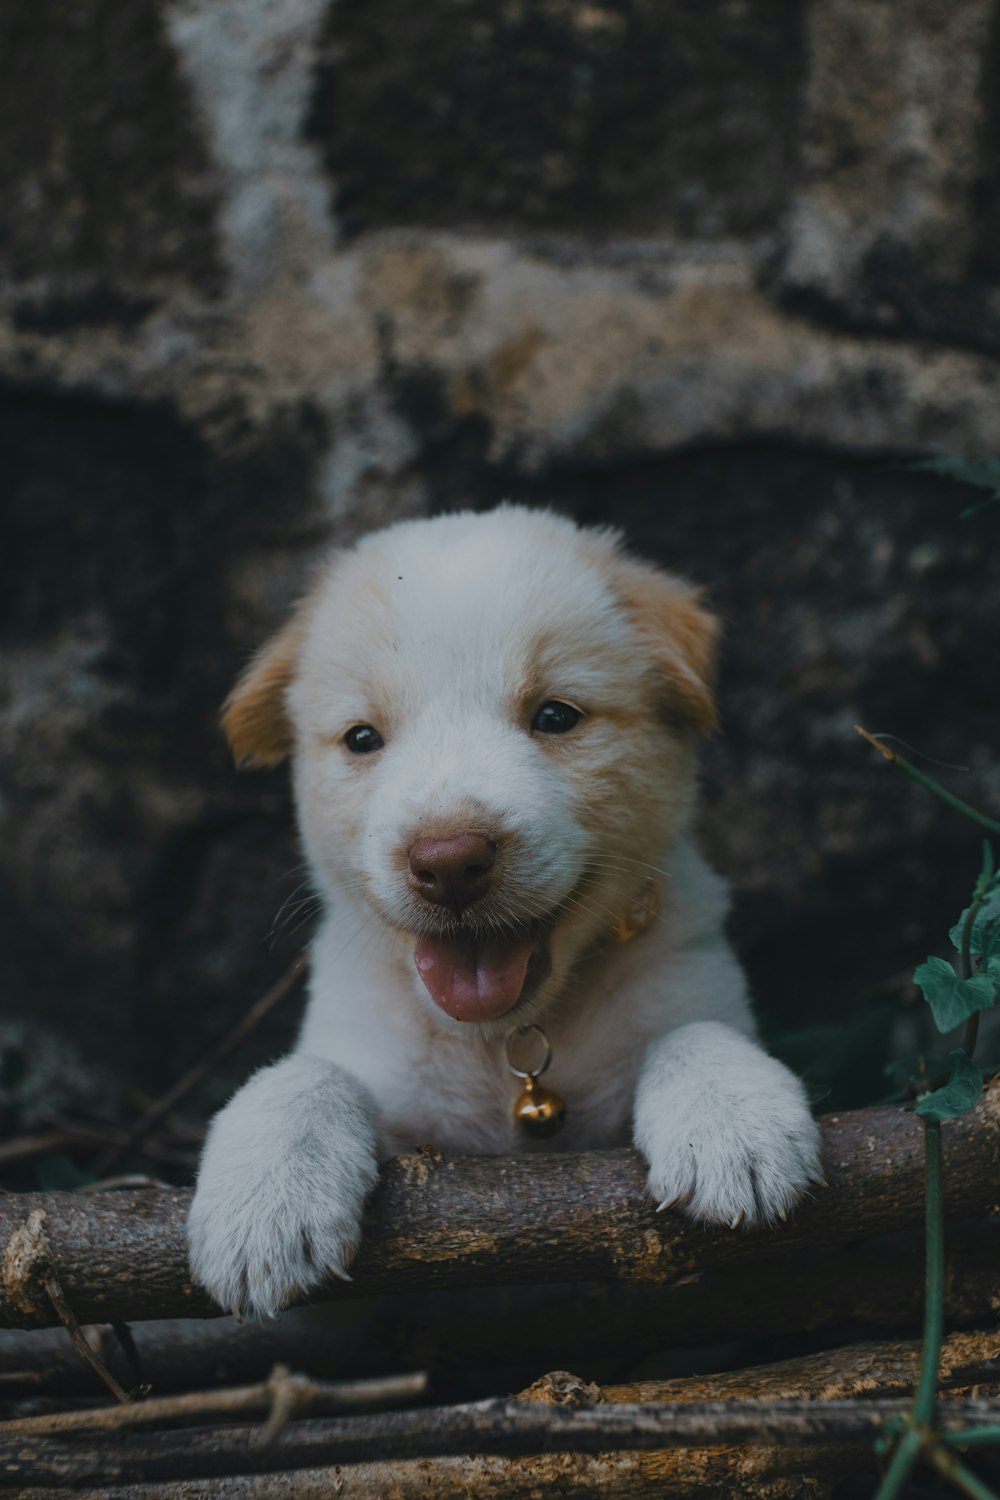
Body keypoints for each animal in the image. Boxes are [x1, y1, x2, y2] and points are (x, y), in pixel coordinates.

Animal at [187, 510, 821, 1320]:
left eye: (555, 716)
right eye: (362, 738)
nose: (448, 861)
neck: (506, 1047)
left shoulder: (687, 980)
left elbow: (692, 1031)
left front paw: (733, 1121)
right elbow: (306, 1072)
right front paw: (264, 1202)